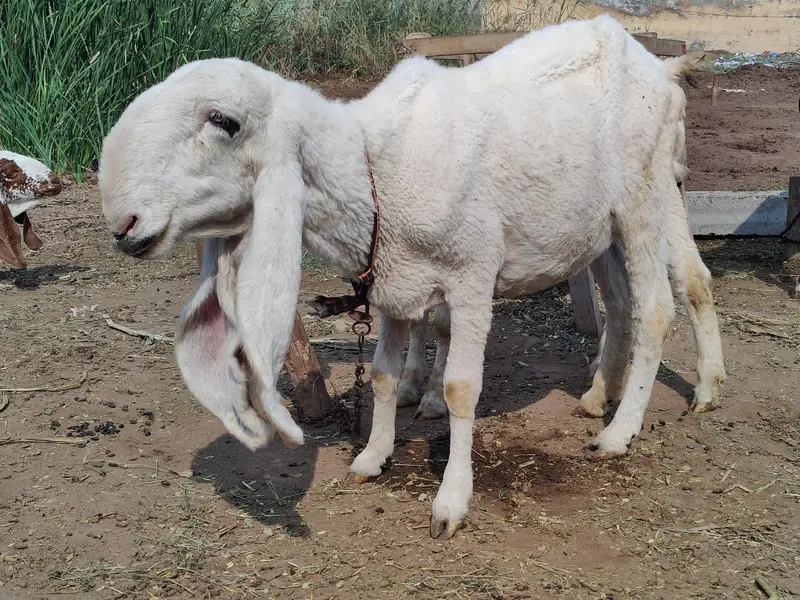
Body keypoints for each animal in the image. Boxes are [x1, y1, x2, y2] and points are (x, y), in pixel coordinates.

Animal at [100, 15, 711, 539]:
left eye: (224, 122)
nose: (123, 223)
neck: (377, 175)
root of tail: (657, 65)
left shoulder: (471, 274)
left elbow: (462, 388)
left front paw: (451, 500)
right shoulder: (393, 283)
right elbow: (383, 376)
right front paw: (373, 455)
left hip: (645, 198)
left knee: (658, 307)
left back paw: (622, 430)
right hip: (598, 228)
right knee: (624, 303)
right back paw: (598, 396)